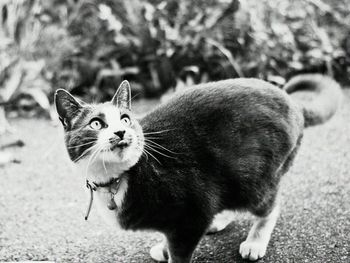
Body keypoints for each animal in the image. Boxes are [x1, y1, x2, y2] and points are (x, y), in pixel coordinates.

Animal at [54, 75, 342, 262]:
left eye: (125, 119)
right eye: (96, 124)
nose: (121, 131)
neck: (116, 180)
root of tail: (293, 102)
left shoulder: (192, 214)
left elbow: (180, 252)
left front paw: (170, 252)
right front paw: (163, 247)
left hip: (256, 177)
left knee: (269, 206)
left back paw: (255, 241)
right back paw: (219, 221)